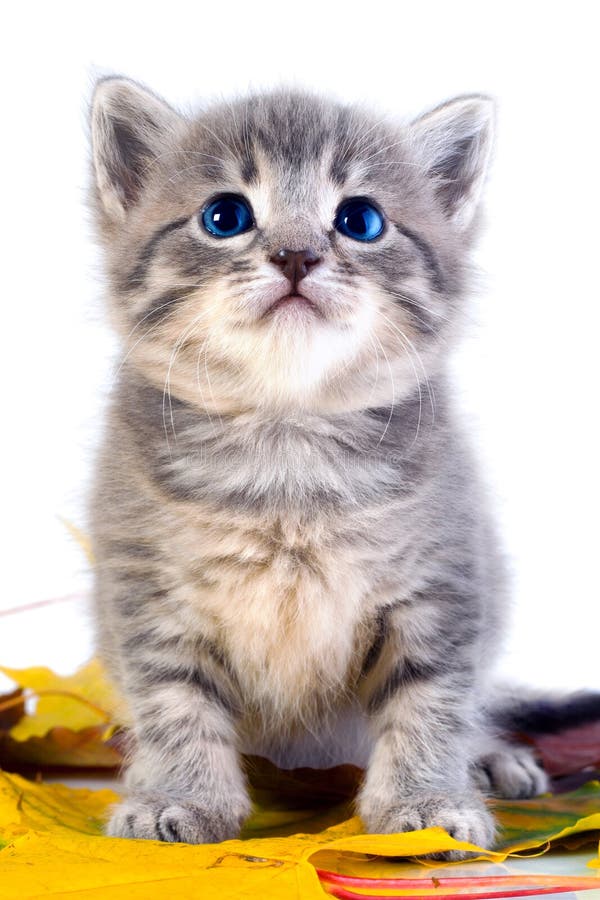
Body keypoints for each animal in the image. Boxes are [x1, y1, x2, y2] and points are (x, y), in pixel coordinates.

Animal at [86, 79, 552, 856]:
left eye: (360, 220)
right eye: (225, 216)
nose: (297, 255)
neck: (288, 449)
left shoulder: (444, 585)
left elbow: (430, 701)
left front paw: (427, 802)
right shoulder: (147, 593)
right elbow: (175, 703)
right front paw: (179, 797)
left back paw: (491, 758)